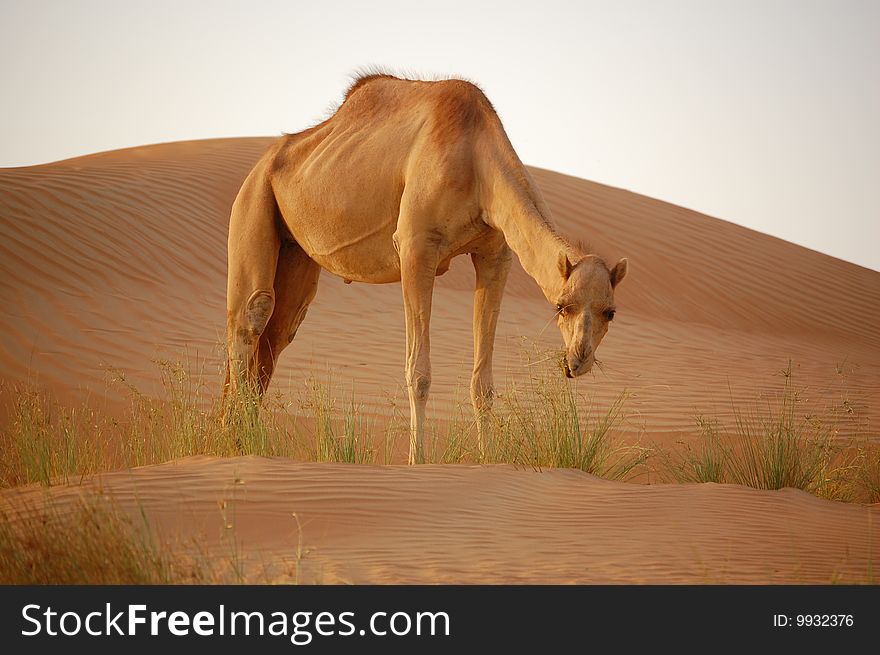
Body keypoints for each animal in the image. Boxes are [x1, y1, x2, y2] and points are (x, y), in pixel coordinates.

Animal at [223, 74, 628, 464]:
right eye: (562, 307)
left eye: (610, 312)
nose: (577, 361)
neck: (476, 161)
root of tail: (266, 160)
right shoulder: (416, 247)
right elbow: (418, 373)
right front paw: (417, 462)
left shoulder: (496, 254)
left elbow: (483, 383)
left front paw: (488, 462)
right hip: (253, 198)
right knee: (252, 315)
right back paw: (238, 441)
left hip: (297, 250)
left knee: (279, 330)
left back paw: (243, 438)